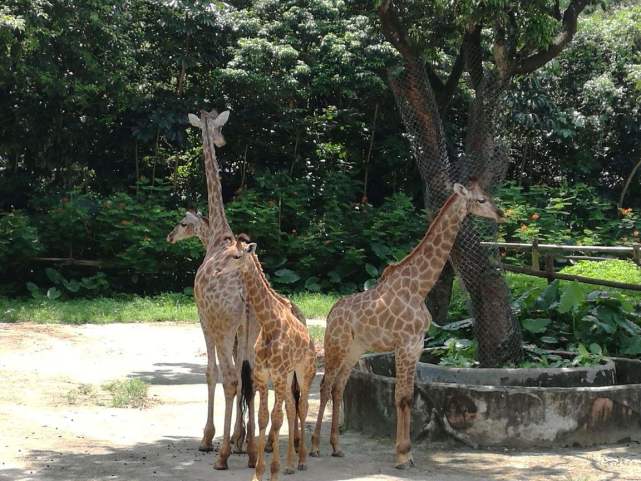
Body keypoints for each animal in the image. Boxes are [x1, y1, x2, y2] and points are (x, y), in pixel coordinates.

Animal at [218, 240, 318, 480]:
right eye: (224, 253)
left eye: (236, 256)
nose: (217, 271)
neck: (269, 323)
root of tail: (310, 338)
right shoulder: (263, 376)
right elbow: (264, 417)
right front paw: (258, 472)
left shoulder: (278, 375)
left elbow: (276, 418)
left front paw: (273, 471)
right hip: (288, 376)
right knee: (291, 408)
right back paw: (290, 464)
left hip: (304, 371)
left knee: (302, 407)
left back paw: (302, 461)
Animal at [310, 178, 504, 466]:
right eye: (480, 200)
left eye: (488, 195)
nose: (500, 214)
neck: (419, 288)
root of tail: (331, 313)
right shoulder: (404, 344)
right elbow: (400, 398)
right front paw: (402, 455)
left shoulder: (417, 345)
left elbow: (408, 398)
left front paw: (406, 452)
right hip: (336, 345)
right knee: (325, 386)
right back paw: (313, 447)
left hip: (355, 349)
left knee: (338, 387)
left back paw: (336, 446)